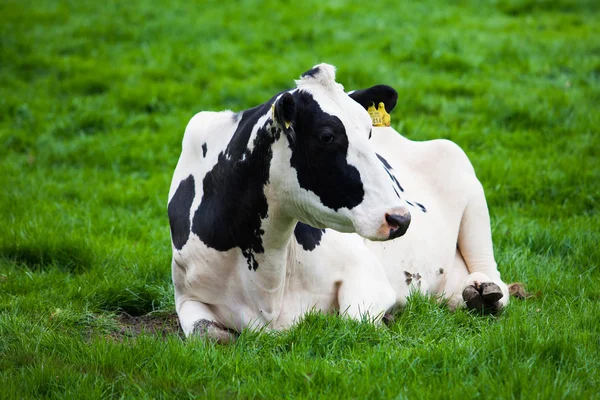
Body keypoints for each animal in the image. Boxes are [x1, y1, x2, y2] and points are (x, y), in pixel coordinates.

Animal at [166, 64, 508, 342]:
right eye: (327, 136)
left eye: (369, 132)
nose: (401, 219)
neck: (265, 287)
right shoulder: (185, 294)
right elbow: (208, 334)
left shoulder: (366, 273)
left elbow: (356, 320)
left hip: (464, 177)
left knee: (492, 272)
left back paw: (485, 292)